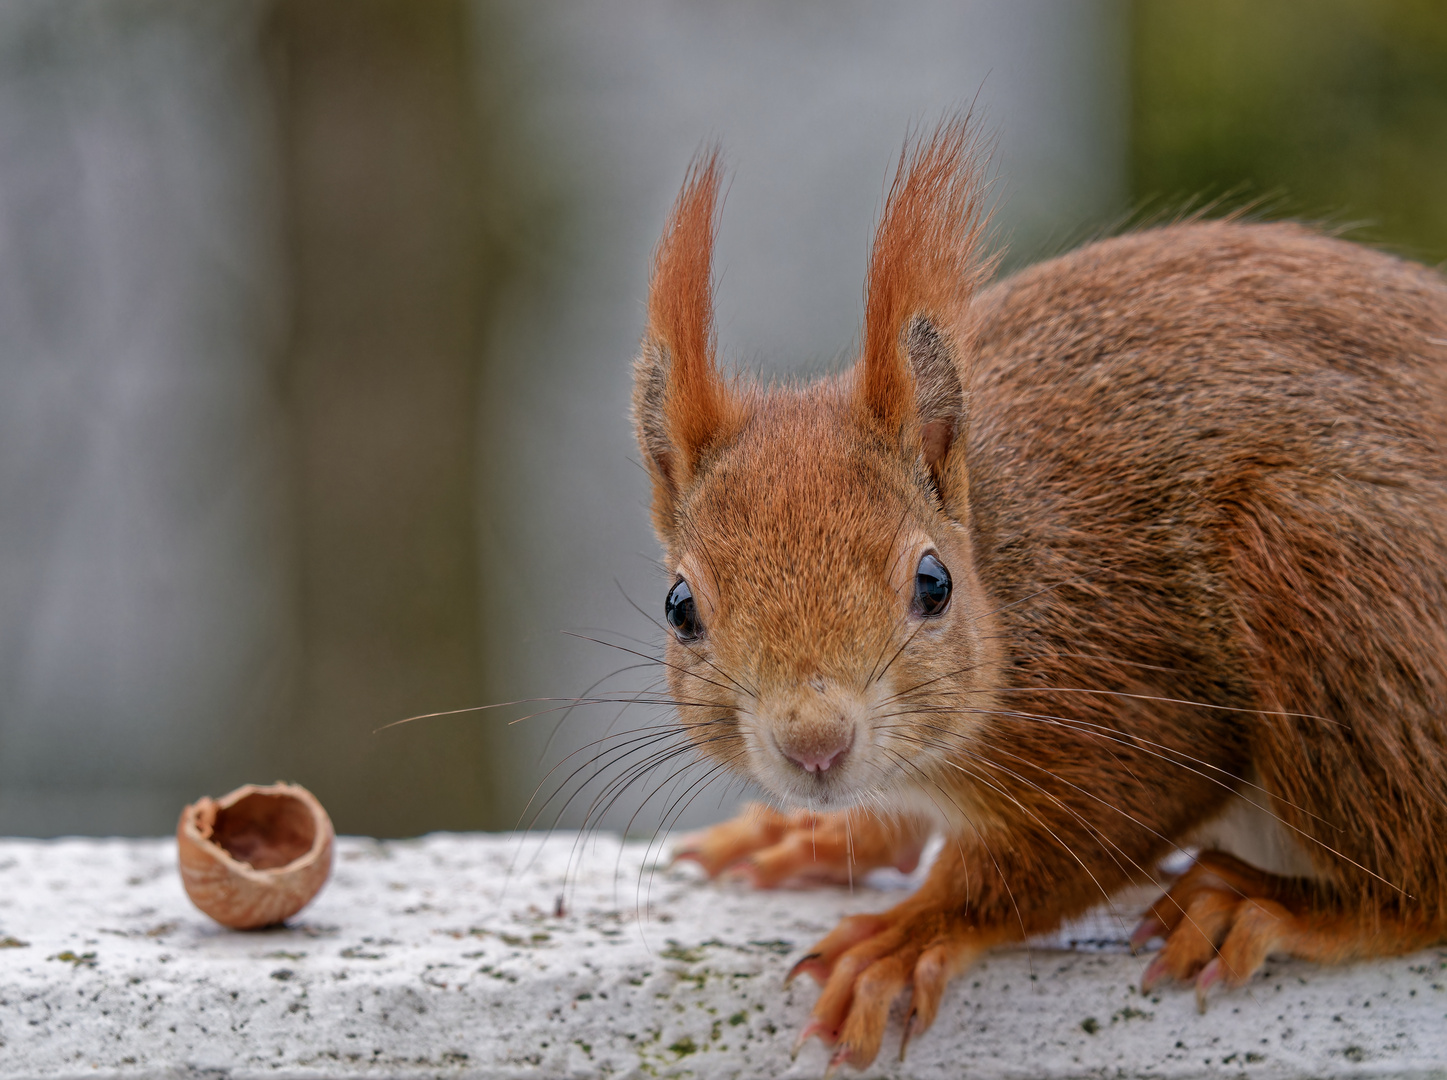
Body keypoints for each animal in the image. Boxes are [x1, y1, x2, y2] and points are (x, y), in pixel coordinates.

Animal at [630, 120, 1447, 1071]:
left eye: (933, 585)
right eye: (680, 607)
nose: (816, 746)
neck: (1005, 562)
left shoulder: (1129, 691)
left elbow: (1061, 848)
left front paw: (906, 931)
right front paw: (822, 834)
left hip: (1330, 592)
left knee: (1416, 886)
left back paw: (1272, 904)